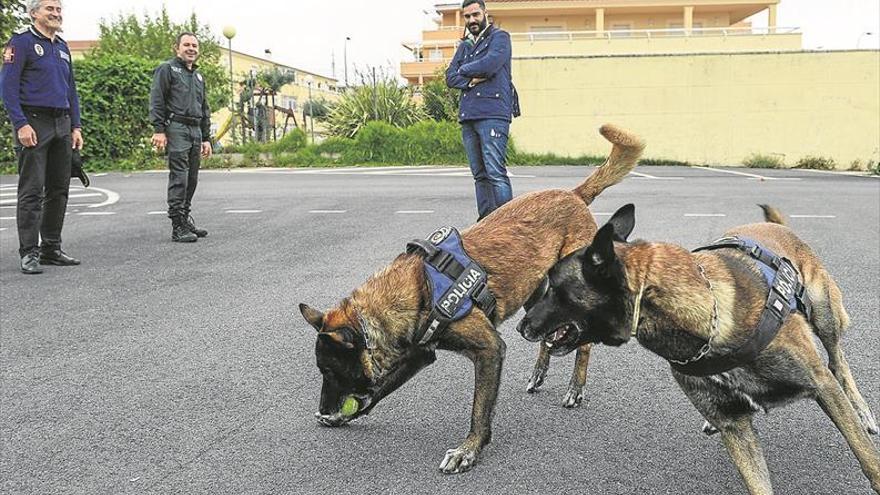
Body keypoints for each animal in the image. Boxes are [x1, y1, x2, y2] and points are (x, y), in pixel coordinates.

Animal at [300, 123, 644, 472]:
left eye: (328, 371)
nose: (325, 409)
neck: (418, 288)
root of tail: (574, 195)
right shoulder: (419, 355)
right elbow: (379, 390)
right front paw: (347, 416)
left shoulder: (490, 350)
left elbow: (479, 409)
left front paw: (469, 449)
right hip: (538, 299)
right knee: (547, 335)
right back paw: (538, 374)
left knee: (582, 345)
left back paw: (576, 387)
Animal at [520, 203, 876, 494]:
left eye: (554, 287)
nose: (521, 327)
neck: (708, 330)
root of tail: (778, 226)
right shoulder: (736, 431)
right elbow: (757, 482)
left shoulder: (820, 384)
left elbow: (867, 456)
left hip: (825, 319)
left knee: (839, 363)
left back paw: (863, 412)